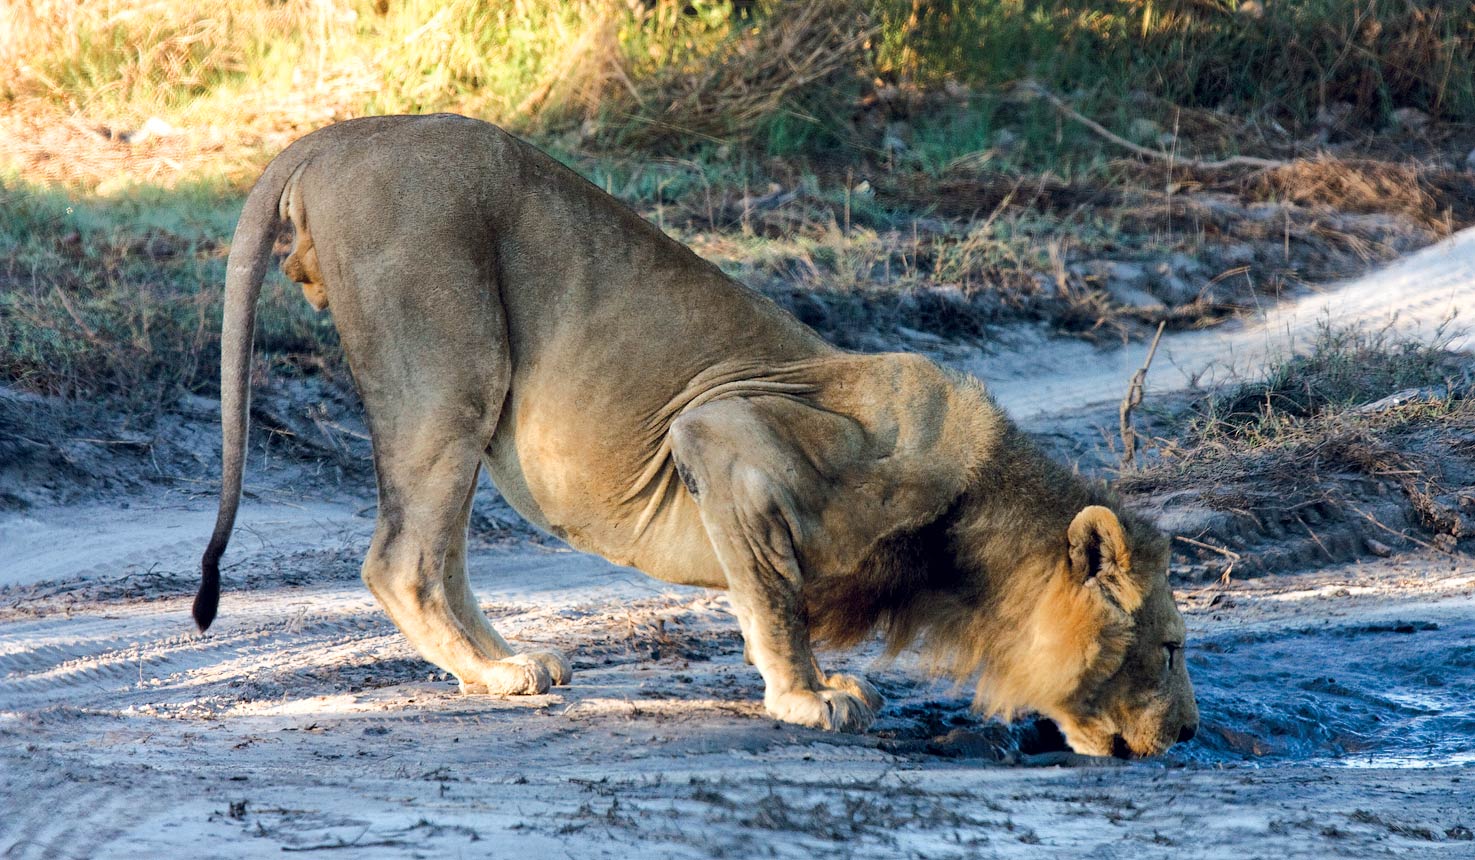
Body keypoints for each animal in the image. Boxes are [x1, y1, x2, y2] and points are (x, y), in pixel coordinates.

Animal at [199, 115, 1197, 761]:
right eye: (1172, 648)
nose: (1188, 732)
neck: (967, 551)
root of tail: (337, 134)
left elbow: (768, 597)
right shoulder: (720, 432)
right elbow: (773, 598)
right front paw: (807, 700)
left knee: (440, 553)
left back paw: (507, 663)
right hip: (452, 366)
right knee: (401, 558)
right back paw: (496, 677)